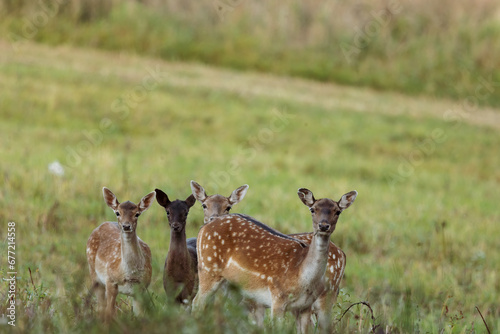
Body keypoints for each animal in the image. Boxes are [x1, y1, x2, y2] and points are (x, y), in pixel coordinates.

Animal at [87, 187, 155, 320]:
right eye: (118, 213)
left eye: (137, 214)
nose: (126, 226)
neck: (130, 275)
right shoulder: (110, 281)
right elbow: (109, 313)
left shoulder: (143, 287)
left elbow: (139, 316)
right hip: (94, 274)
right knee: (101, 308)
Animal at [193, 189, 358, 332]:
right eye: (312, 209)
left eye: (338, 211)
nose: (323, 225)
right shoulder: (276, 298)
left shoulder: (302, 306)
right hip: (208, 270)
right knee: (197, 303)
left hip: (328, 296)